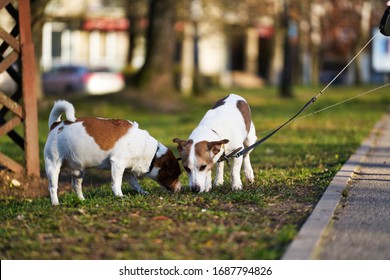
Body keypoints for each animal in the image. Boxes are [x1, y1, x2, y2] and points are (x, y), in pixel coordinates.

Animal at [43, 99, 181, 205]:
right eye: (176, 174)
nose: (181, 188)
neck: (151, 153)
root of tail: (56, 124)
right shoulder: (117, 164)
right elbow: (116, 183)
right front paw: (119, 195)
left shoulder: (127, 169)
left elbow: (134, 183)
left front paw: (141, 192)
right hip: (53, 166)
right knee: (52, 187)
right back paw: (55, 203)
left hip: (78, 172)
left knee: (76, 186)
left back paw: (82, 200)